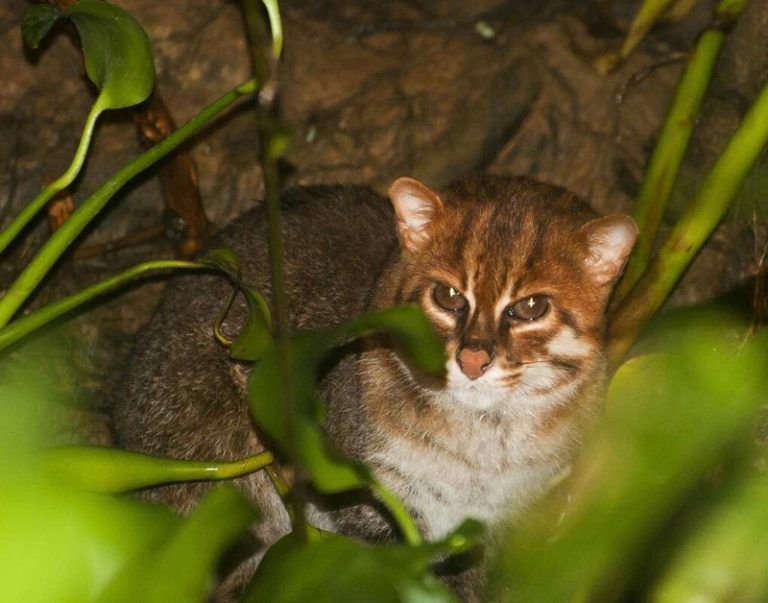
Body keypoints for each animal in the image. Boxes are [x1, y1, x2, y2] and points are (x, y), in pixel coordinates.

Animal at [112, 173, 636, 600]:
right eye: (447, 295)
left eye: (530, 307)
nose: (471, 359)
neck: (487, 446)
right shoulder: (361, 493)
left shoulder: (508, 519)